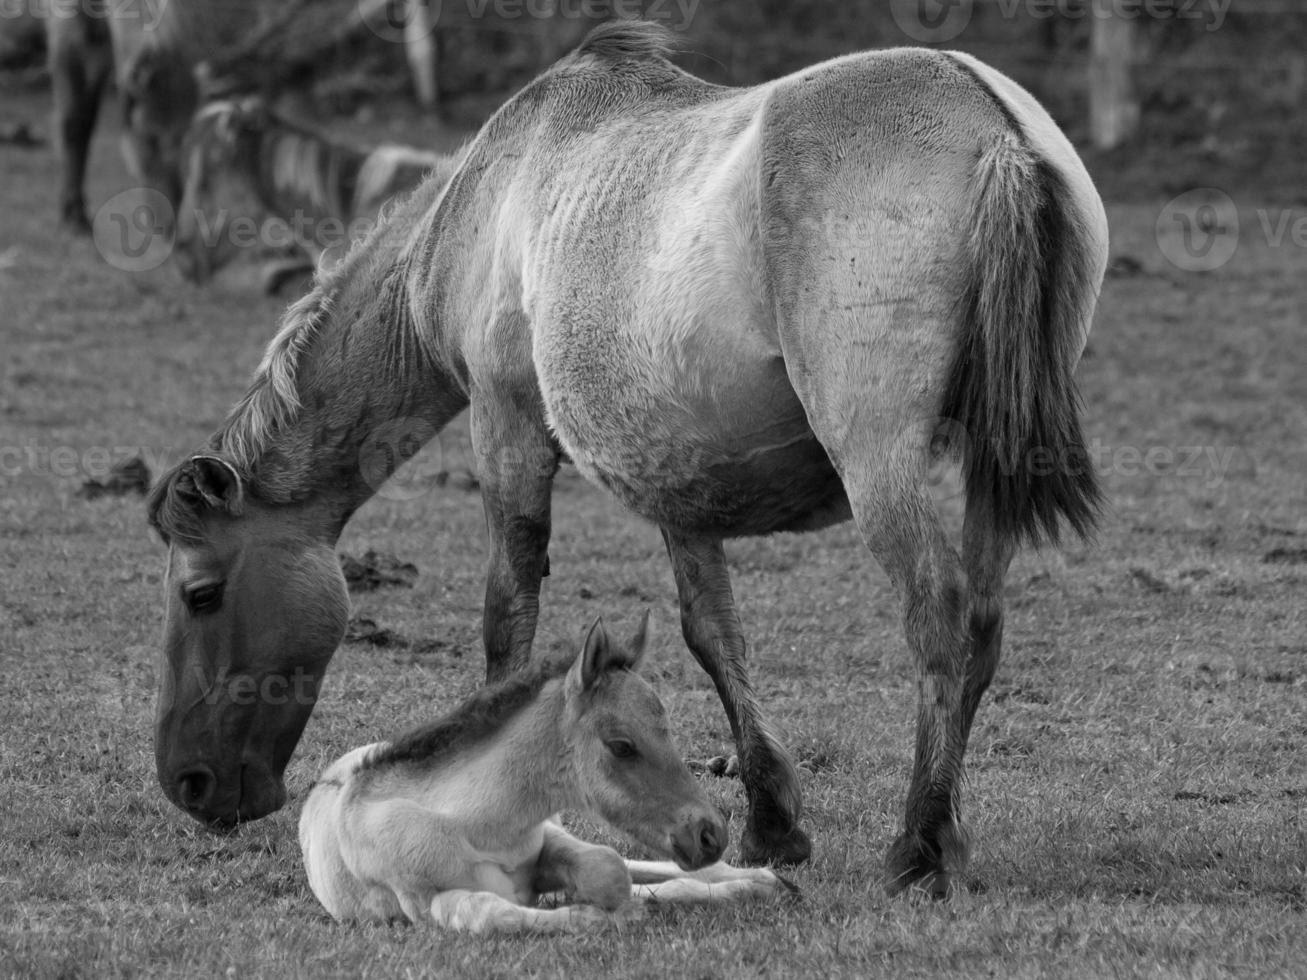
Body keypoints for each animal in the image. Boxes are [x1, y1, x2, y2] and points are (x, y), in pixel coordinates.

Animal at [148, 23, 1108, 898]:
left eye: (201, 593)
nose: (187, 782)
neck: (488, 196)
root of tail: (991, 126)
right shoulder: (679, 479)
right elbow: (713, 633)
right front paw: (771, 822)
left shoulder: (505, 426)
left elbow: (508, 611)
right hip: (989, 465)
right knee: (979, 626)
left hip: (881, 463)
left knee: (939, 621)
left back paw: (919, 846)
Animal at [300, 616, 789, 930]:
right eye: (622, 746)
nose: (710, 835)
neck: (479, 826)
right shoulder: (423, 902)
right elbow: (496, 914)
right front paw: (596, 916)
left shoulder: (549, 839)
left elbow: (610, 868)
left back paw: (761, 879)